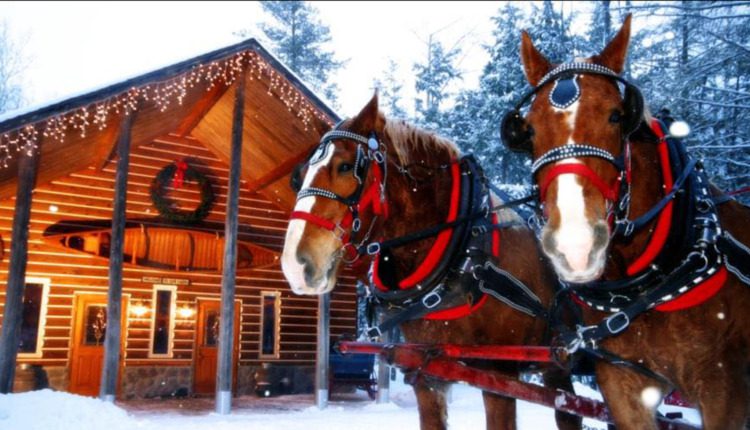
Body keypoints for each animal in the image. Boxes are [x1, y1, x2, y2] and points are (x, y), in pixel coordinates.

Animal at [281, 94, 581, 430]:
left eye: (346, 167)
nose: (295, 265)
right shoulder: (427, 372)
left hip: (557, 361)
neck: (465, 259)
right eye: (299, 176)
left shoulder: (499, 372)